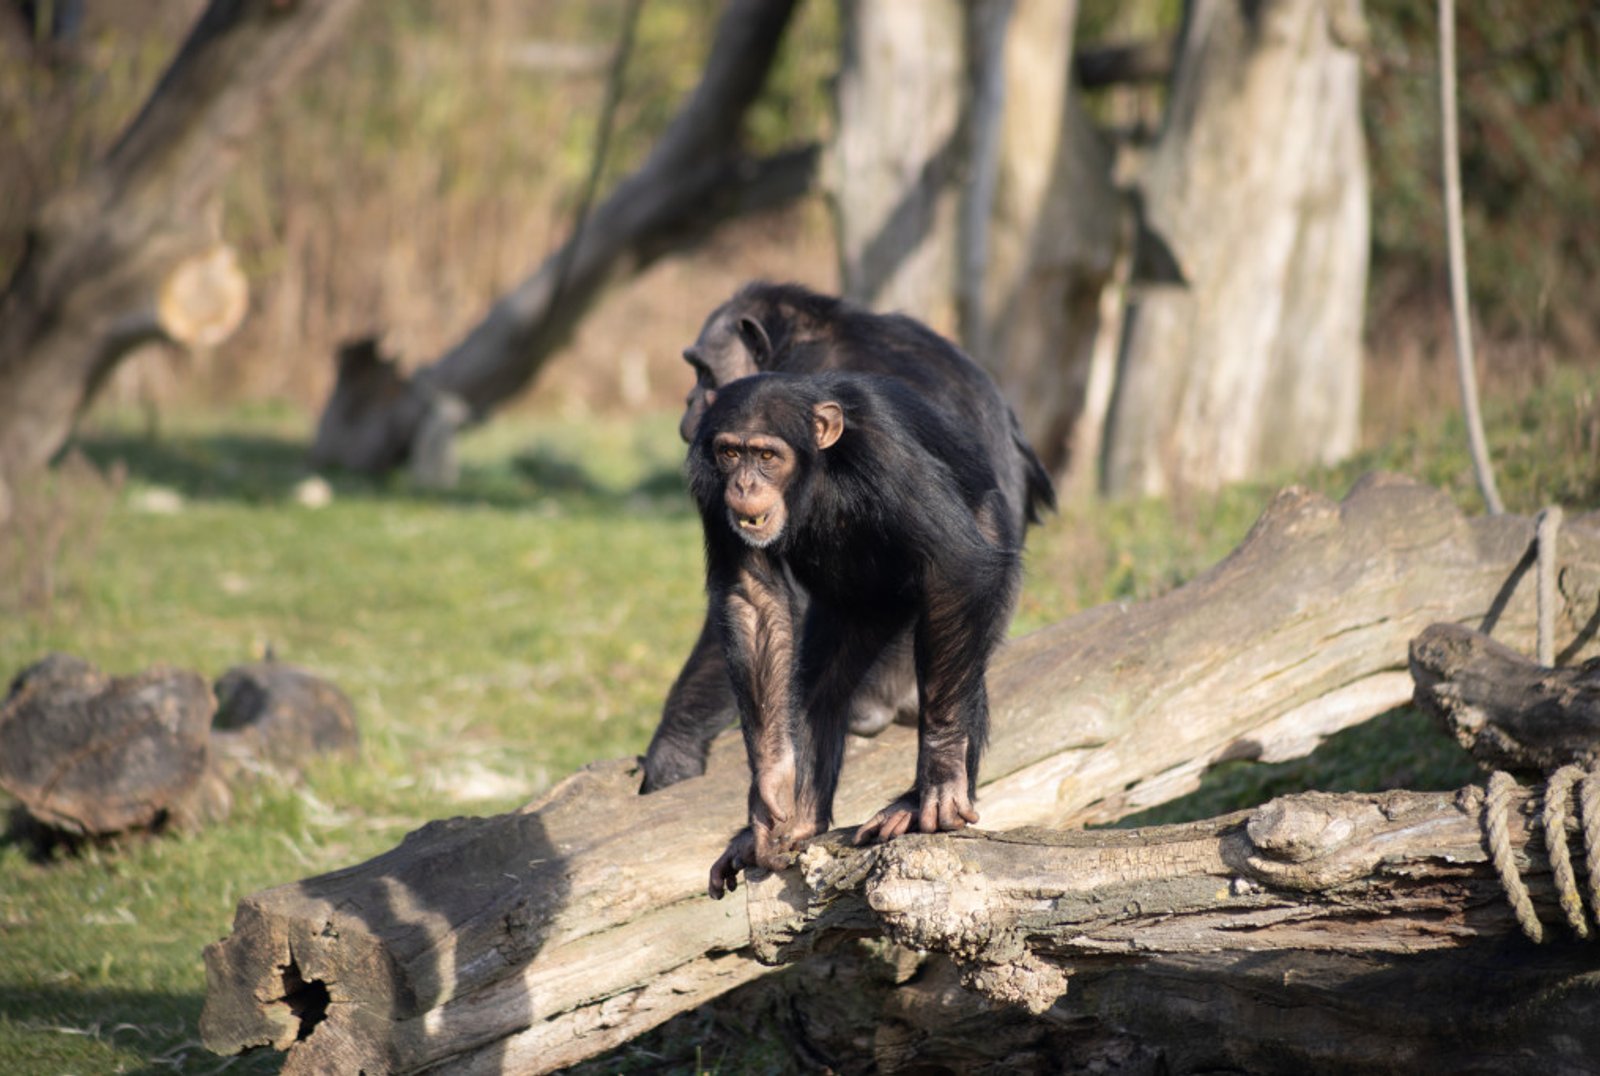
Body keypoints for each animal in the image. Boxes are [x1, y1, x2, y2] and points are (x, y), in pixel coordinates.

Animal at [691, 371, 1024, 896]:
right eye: (729, 452)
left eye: (766, 456)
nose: (743, 483)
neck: (817, 473)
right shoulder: (709, 483)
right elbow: (753, 599)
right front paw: (770, 786)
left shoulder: (883, 448)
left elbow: (954, 564)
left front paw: (942, 773)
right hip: (859, 610)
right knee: (819, 687)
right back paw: (799, 819)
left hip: (993, 528)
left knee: (957, 656)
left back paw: (915, 804)